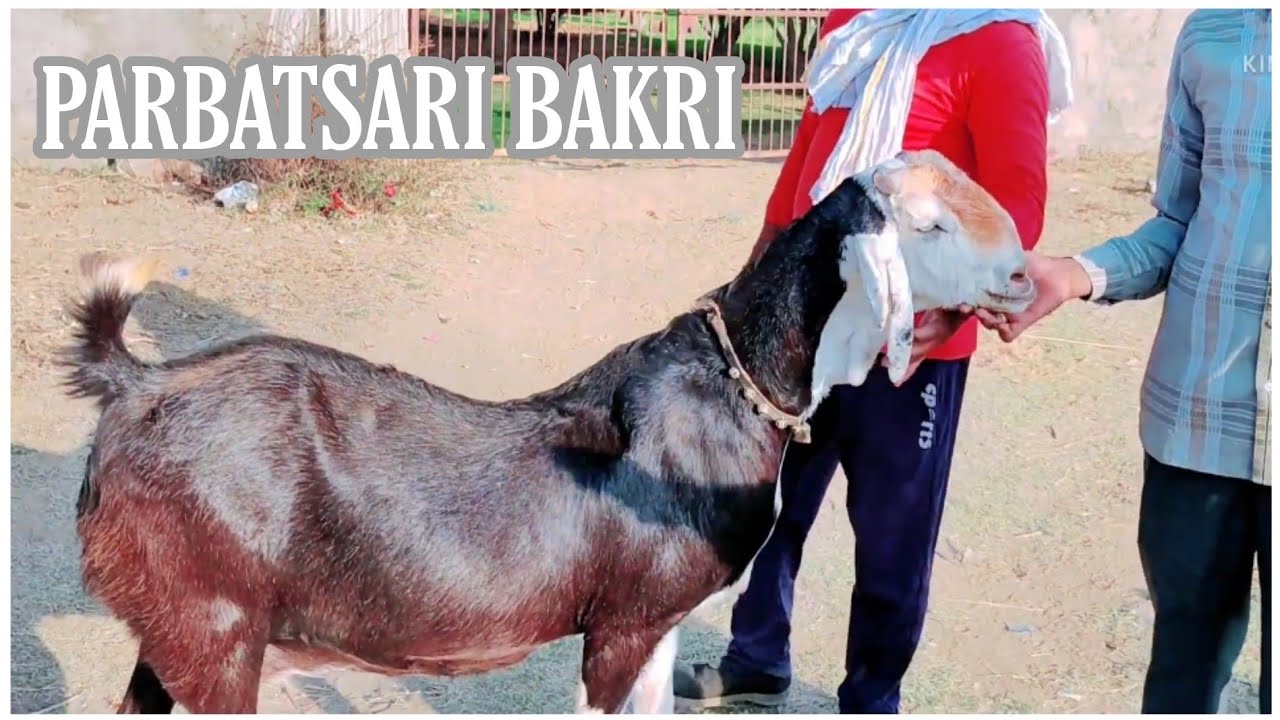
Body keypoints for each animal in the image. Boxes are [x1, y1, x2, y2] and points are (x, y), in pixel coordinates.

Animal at [63, 149, 1034, 714]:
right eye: (929, 226)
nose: (1026, 276)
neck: (734, 383)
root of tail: (138, 382)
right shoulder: (619, 627)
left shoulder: (659, 620)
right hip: (215, 620)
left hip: (172, 624)